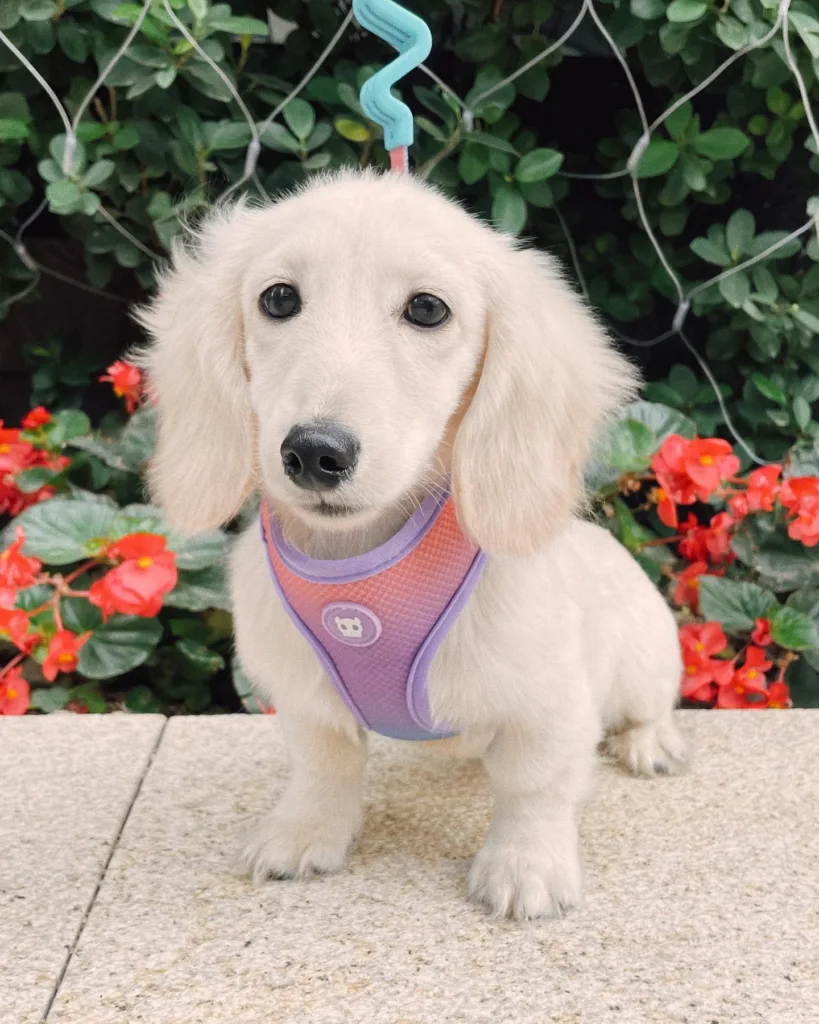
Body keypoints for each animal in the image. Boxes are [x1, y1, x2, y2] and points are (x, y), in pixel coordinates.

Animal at [141, 167, 683, 921]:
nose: (315, 453)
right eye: (278, 298)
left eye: (427, 309)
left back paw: (650, 741)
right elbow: (323, 766)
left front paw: (526, 866)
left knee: (646, 705)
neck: (361, 560)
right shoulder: (306, 696)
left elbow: (535, 786)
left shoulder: (549, 700)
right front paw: (302, 833)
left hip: (645, 658)